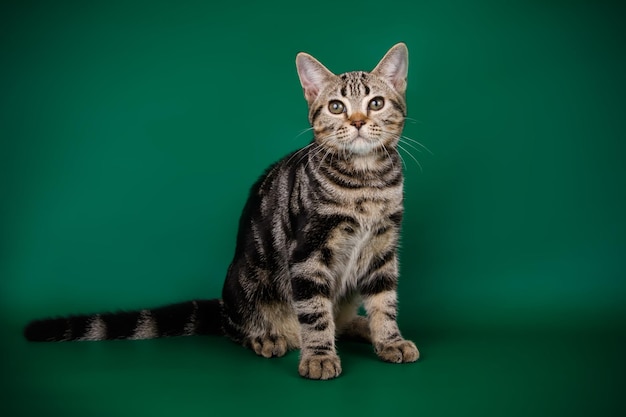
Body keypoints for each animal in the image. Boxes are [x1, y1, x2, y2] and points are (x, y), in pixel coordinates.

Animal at [24, 43, 416, 380]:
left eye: (376, 102)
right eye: (336, 107)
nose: (357, 121)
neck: (366, 182)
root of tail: (225, 306)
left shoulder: (384, 246)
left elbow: (384, 300)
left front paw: (389, 340)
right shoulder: (308, 251)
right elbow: (315, 312)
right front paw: (319, 356)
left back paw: (359, 326)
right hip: (246, 285)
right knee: (241, 329)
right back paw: (267, 338)